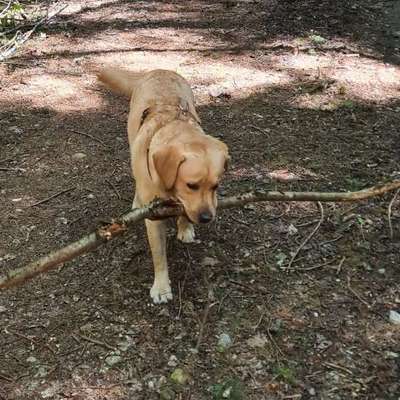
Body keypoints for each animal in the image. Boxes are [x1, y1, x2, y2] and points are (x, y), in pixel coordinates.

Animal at [97, 68, 230, 304]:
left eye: (215, 186)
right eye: (191, 185)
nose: (207, 218)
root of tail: (159, 70)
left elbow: (185, 212)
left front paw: (185, 227)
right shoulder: (154, 218)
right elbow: (159, 255)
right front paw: (161, 287)